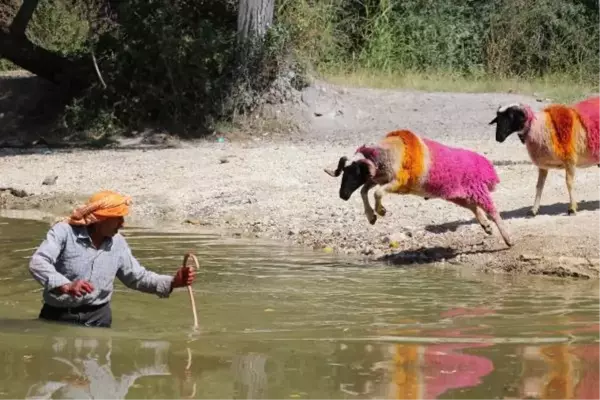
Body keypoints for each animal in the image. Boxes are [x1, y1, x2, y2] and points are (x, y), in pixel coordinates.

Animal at [324, 130, 516, 247]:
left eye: (355, 173)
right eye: (344, 173)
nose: (342, 195)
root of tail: (485, 165)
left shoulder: (396, 181)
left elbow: (376, 193)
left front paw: (381, 211)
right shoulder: (380, 178)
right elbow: (364, 191)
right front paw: (371, 216)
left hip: (476, 189)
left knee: (493, 211)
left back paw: (508, 239)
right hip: (456, 194)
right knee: (473, 206)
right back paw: (486, 226)